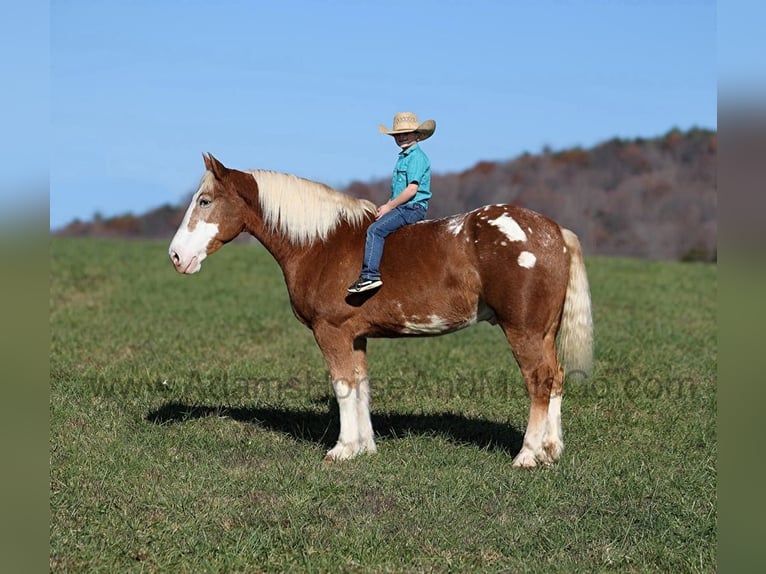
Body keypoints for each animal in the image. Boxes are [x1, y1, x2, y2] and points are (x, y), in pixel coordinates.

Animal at [168, 153, 593, 467]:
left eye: (205, 201)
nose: (175, 256)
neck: (321, 243)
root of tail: (553, 231)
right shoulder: (354, 335)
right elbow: (360, 386)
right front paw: (363, 447)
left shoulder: (331, 331)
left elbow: (343, 386)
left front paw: (341, 450)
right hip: (544, 332)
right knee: (556, 378)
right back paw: (551, 451)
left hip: (523, 330)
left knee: (539, 381)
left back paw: (527, 455)